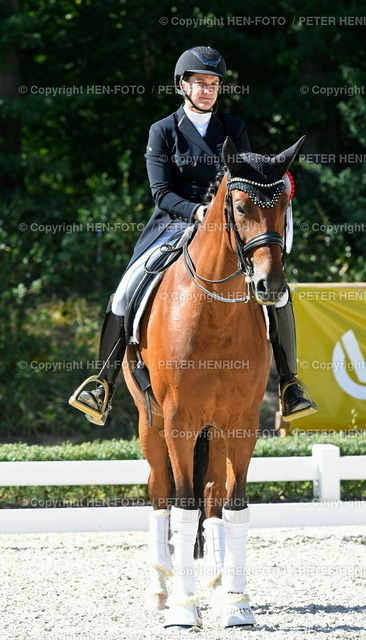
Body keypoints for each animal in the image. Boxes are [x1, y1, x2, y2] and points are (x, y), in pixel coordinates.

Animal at [122, 135, 304, 632]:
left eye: (284, 206)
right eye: (239, 207)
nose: (269, 286)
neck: (214, 310)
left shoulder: (241, 422)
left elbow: (234, 506)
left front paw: (237, 604)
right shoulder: (179, 421)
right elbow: (182, 509)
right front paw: (184, 610)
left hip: (217, 430)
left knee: (212, 496)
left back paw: (219, 583)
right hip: (150, 422)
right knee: (160, 492)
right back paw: (161, 591)